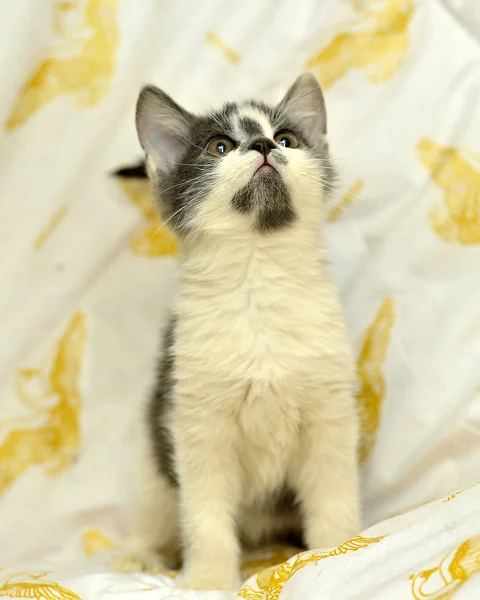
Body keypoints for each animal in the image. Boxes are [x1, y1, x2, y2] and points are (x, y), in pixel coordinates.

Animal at [119, 74, 360, 592]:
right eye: (220, 146)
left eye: (287, 138)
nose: (264, 146)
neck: (258, 280)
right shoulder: (196, 425)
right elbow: (204, 516)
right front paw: (208, 580)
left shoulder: (329, 414)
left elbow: (333, 492)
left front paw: (340, 552)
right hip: (154, 464)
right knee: (156, 511)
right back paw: (139, 556)